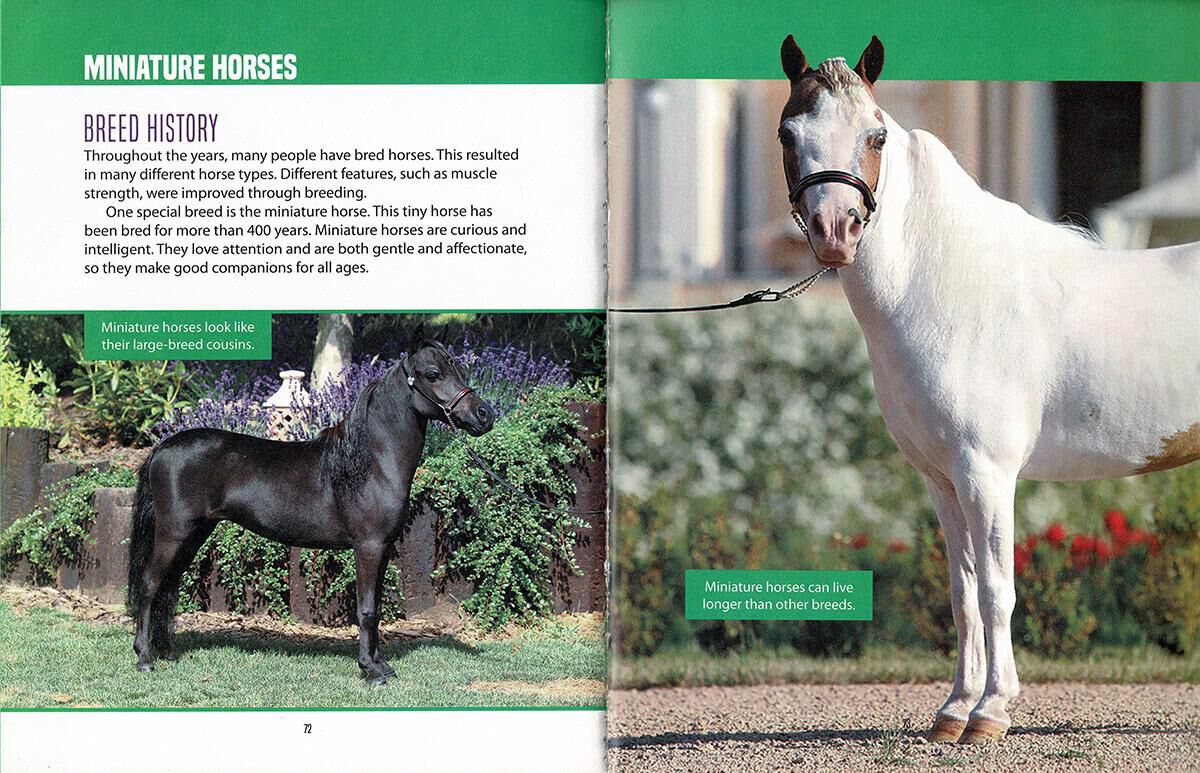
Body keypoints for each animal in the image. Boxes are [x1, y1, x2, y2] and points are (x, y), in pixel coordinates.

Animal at [127, 331, 495, 684]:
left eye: (459, 370)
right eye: (433, 374)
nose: (485, 415)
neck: (370, 464)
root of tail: (163, 447)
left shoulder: (384, 548)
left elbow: (375, 607)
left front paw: (381, 664)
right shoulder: (368, 547)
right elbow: (366, 610)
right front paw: (370, 670)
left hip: (194, 534)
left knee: (167, 588)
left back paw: (167, 652)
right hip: (174, 533)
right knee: (149, 586)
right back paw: (144, 658)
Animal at [777, 35, 1200, 743]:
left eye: (876, 135)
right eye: (788, 133)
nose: (835, 230)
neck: (948, 283)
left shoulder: (987, 474)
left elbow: (997, 590)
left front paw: (991, 712)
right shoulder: (942, 479)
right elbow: (962, 591)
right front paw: (952, 711)